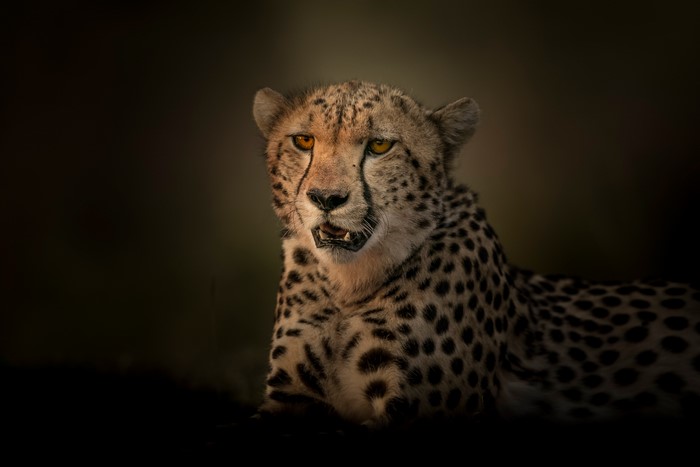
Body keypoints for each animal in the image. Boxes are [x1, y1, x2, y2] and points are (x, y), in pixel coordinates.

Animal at [250, 80, 700, 435]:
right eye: (304, 141)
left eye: (379, 145)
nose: (326, 198)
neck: (350, 284)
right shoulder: (291, 397)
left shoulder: (421, 414)